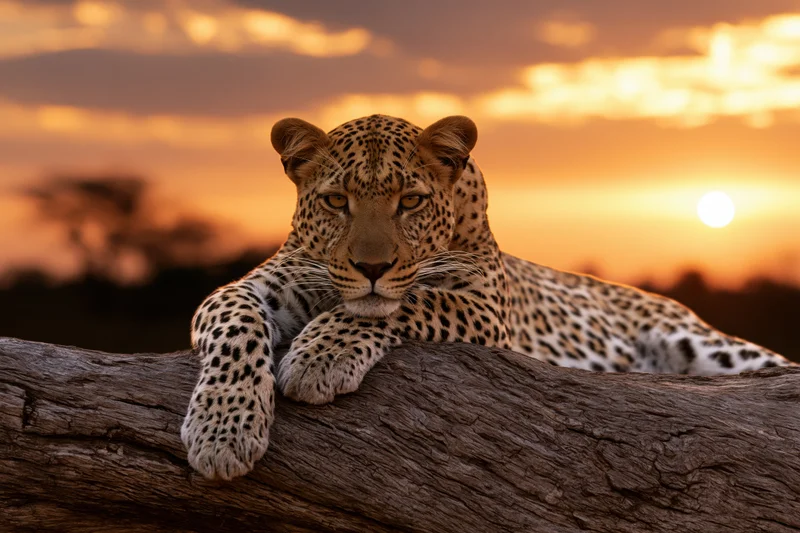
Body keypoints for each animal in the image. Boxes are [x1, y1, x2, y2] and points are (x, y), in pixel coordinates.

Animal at [181, 114, 795, 480]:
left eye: (410, 201)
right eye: (336, 201)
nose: (372, 266)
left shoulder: (482, 307)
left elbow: (410, 302)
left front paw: (318, 358)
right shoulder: (251, 287)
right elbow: (235, 329)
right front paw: (223, 431)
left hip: (706, 344)